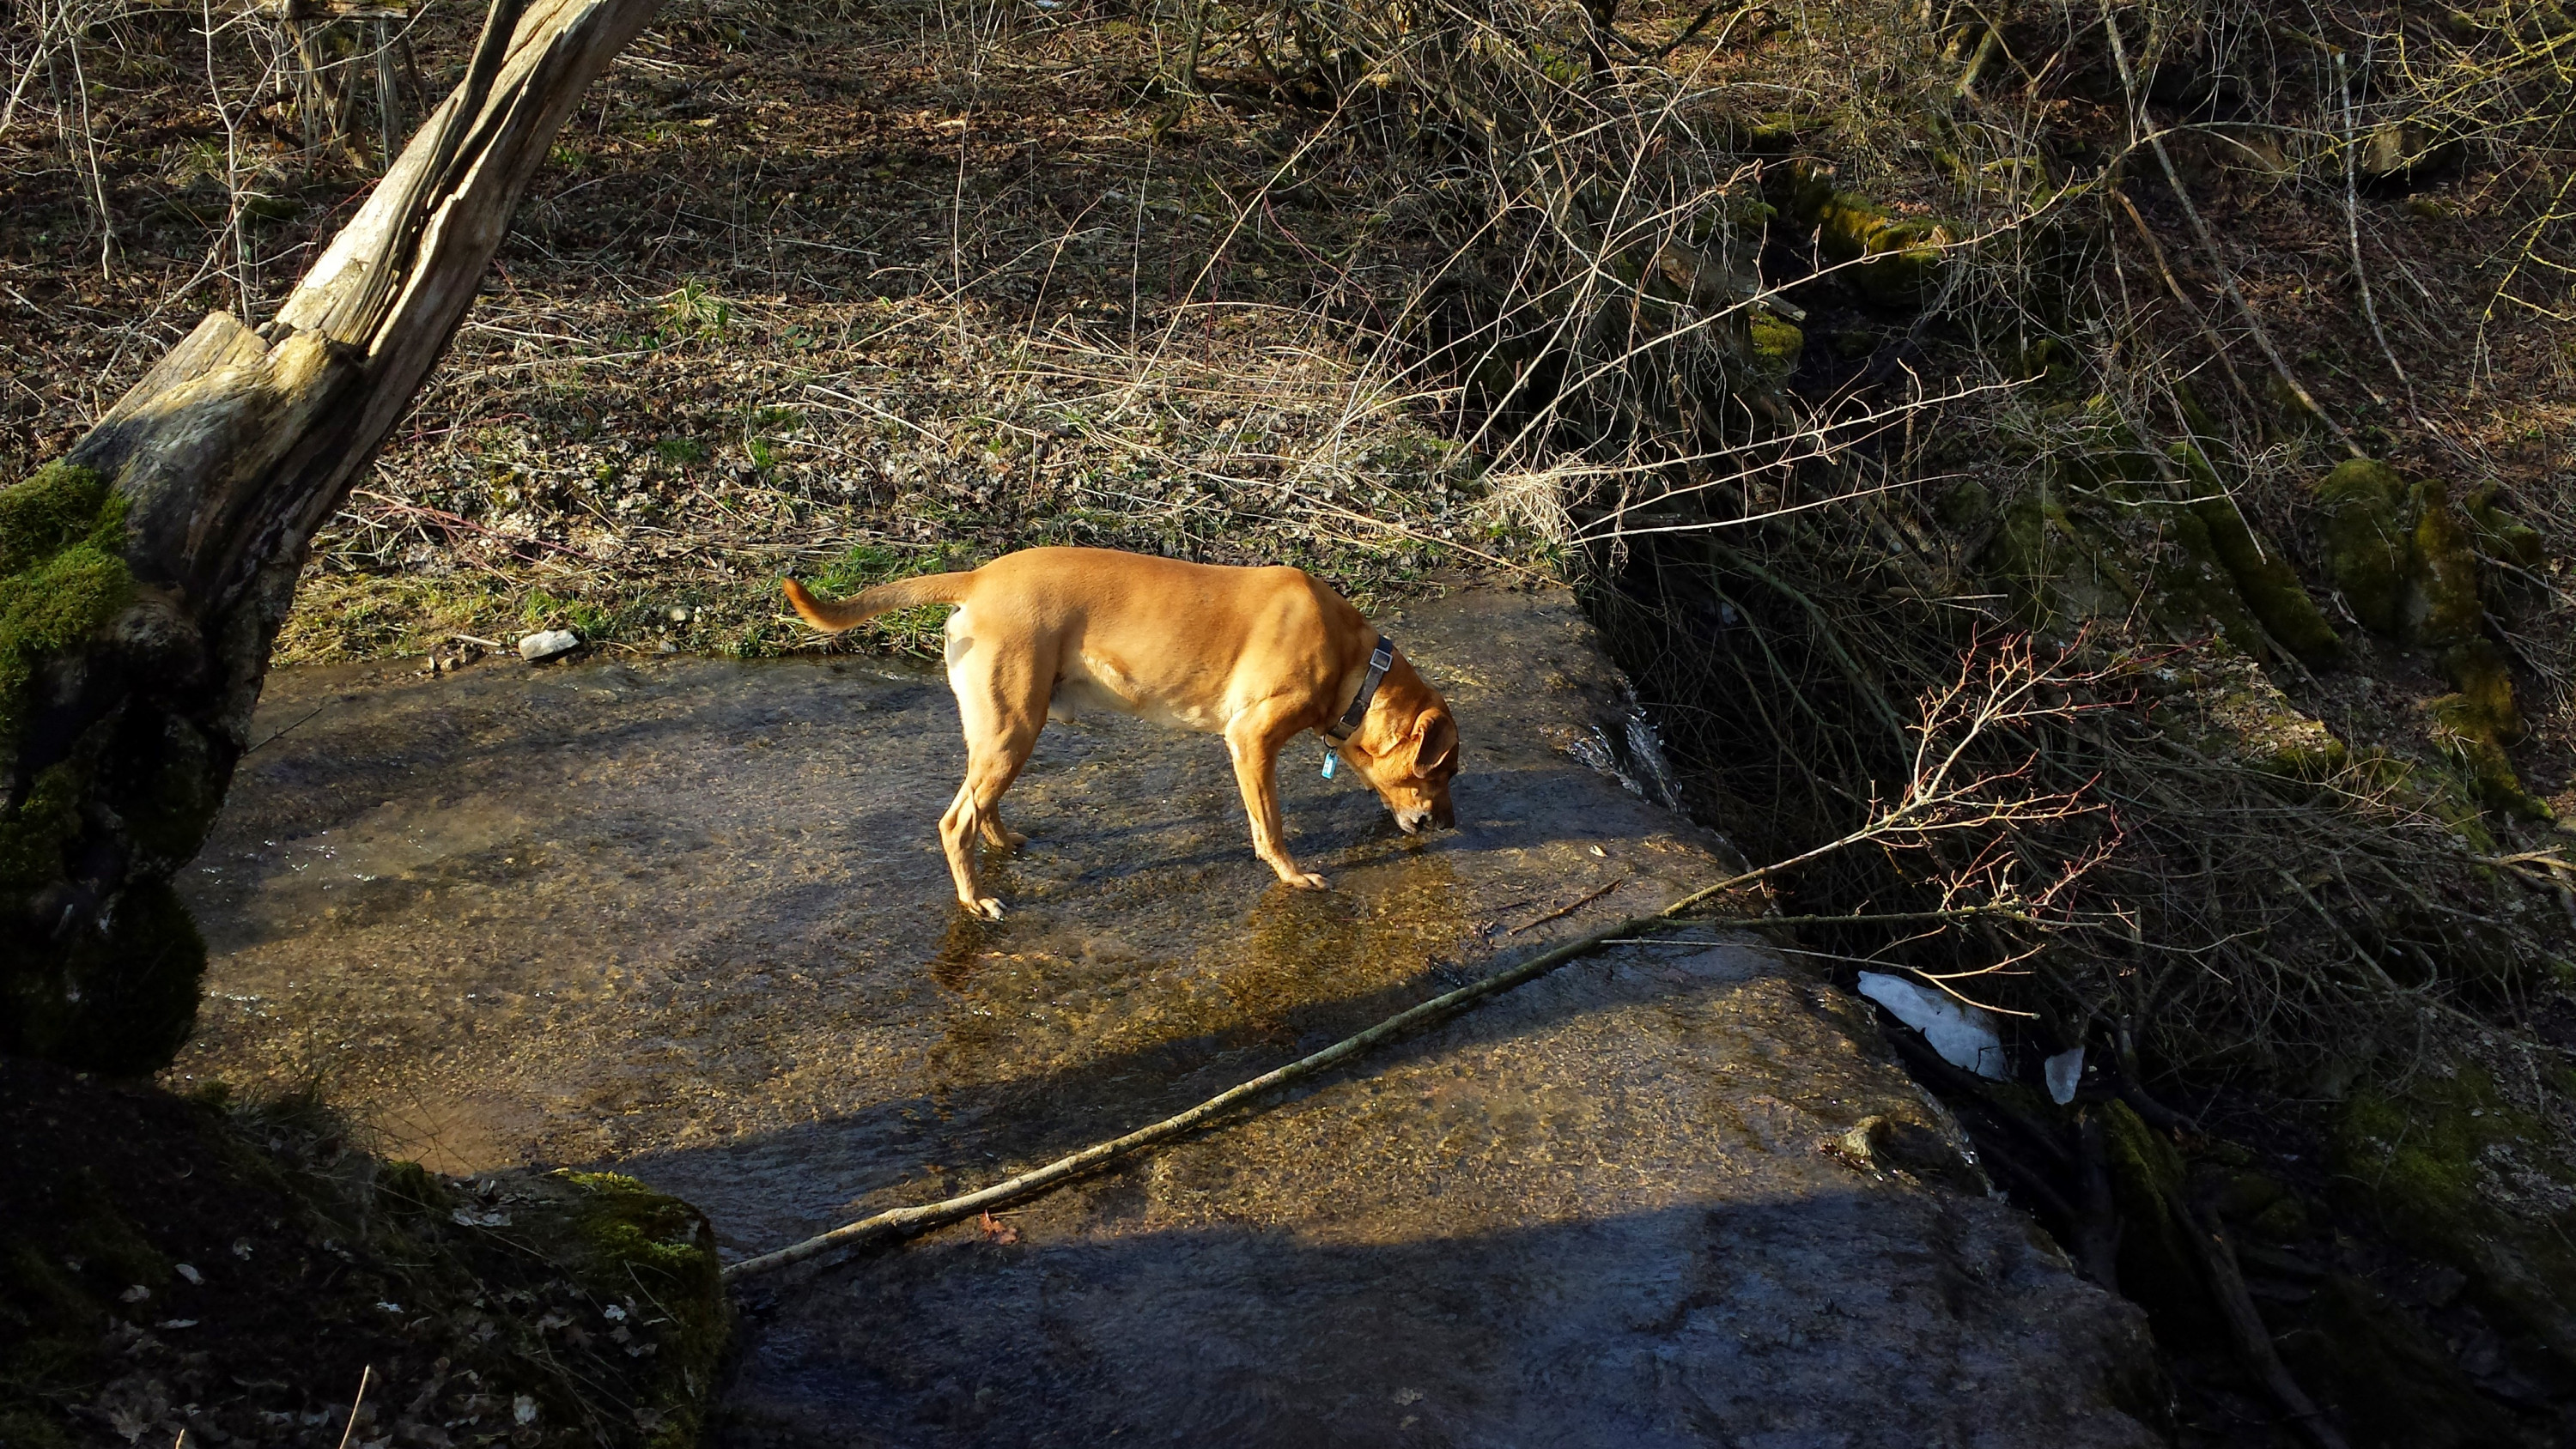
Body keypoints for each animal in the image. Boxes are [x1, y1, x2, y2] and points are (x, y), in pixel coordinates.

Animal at [773, 545, 1463, 916]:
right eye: (1446, 771)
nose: (1450, 825)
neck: (1357, 669)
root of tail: (980, 578)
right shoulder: (1250, 743)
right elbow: (1270, 827)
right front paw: (1293, 877)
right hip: (1014, 727)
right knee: (955, 821)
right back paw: (976, 902)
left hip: (1004, 730)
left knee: (980, 804)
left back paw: (1004, 844)